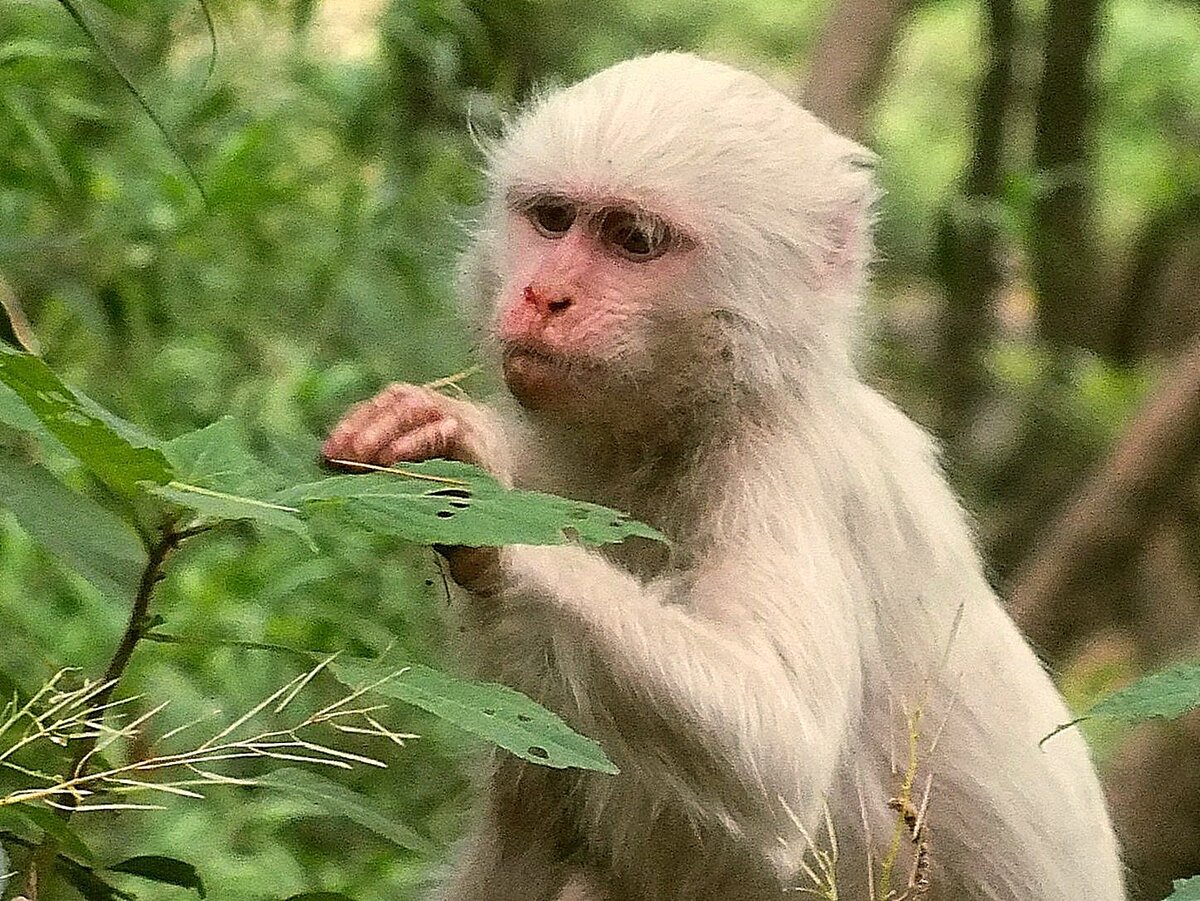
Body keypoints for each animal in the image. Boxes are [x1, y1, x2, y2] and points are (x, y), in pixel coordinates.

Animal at [321, 52, 1123, 897]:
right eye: (553, 220)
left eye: (633, 239)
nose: (544, 295)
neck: (695, 413)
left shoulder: (787, 466)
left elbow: (778, 756)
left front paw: (484, 504)